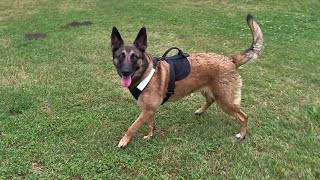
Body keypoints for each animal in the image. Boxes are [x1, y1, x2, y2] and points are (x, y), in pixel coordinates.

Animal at [110, 13, 262, 147]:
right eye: (120, 56)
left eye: (134, 57)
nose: (125, 72)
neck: (146, 73)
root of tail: (230, 60)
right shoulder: (149, 110)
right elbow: (150, 124)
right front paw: (150, 136)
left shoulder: (147, 110)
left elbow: (132, 127)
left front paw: (124, 141)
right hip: (208, 91)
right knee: (210, 100)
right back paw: (200, 111)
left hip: (225, 101)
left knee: (244, 117)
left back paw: (242, 135)